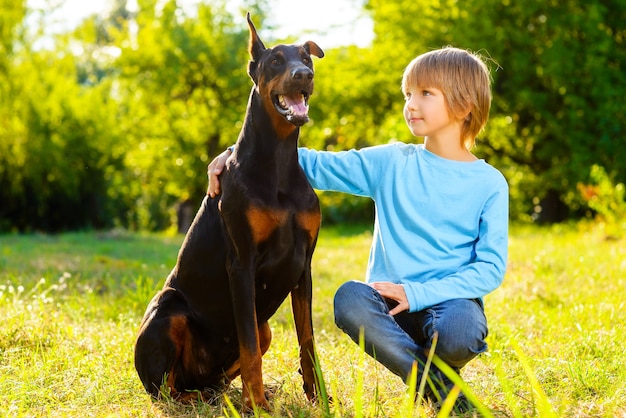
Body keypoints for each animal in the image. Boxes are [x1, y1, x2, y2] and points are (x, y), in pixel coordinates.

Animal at [133, 13, 324, 412]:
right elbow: (249, 348)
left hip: (263, 329)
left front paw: (318, 400)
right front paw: (258, 407)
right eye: (275, 61)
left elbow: (307, 341)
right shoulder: (241, 264)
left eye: (306, 59)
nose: (303, 75)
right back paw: (201, 399)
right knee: (164, 389)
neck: (279, 161)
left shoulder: (304, 267)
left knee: (219, 378)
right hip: (168, 312)